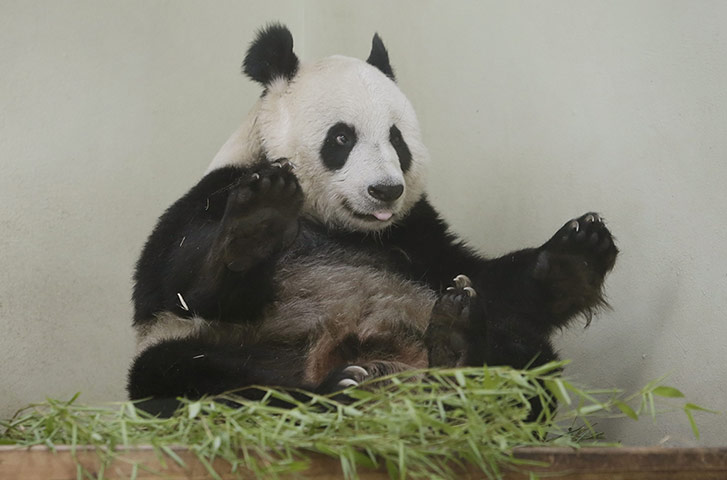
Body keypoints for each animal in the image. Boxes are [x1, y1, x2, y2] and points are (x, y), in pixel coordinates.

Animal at [128, 24, 618, 406]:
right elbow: (178, 283)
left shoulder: (417, 233)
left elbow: (489, 283)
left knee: (525, 359)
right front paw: (258, 219)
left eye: (397, 140)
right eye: (342, 137)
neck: (337, 224)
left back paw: (456, 350)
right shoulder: (211, 194)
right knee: (184, 374)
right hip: (239, 349)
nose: (386, 191)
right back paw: (338, 390)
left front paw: (577, 255)